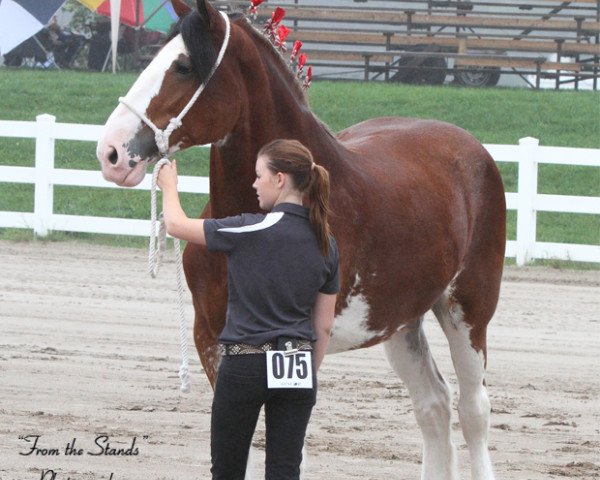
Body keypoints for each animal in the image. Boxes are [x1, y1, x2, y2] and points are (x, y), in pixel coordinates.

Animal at [97, 1, 506, 478]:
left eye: (182, 66)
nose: (110, 153)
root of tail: (470, 147)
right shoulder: (212, 341)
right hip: (401, 320)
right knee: (433, 405)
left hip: (468, 310)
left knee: (473, 411)